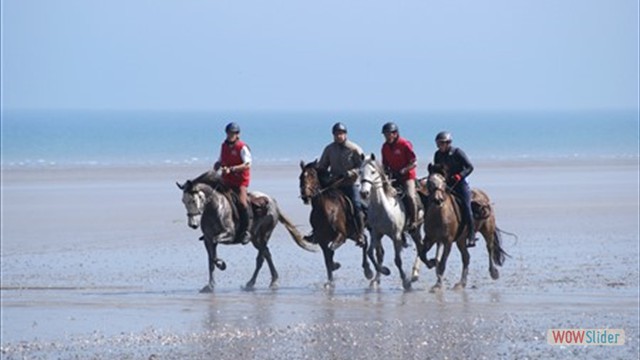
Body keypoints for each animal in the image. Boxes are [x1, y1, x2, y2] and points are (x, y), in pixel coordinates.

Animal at [300, 160, 376, 290]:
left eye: (312, 175)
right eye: (300, 177)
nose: (305, 195)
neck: (325, 210)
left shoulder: (341, 235)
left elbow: (331, 250)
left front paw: (335, 265)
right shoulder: (322, 240)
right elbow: (327, 258)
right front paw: (330, 281)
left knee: (364, 241)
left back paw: (368, 272)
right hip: (352, 233)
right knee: (364, 240)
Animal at [360, 155, 424, 290]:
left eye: (372, 172)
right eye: (360, 172)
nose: (364, 193)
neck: (383, 208)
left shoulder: (396, 236)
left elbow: (397, 260)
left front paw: (405, 281)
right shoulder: (376, 234)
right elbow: (370, 253)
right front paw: (384, 271)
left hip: (416, 228)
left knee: (420, 247)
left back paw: (414, 274)